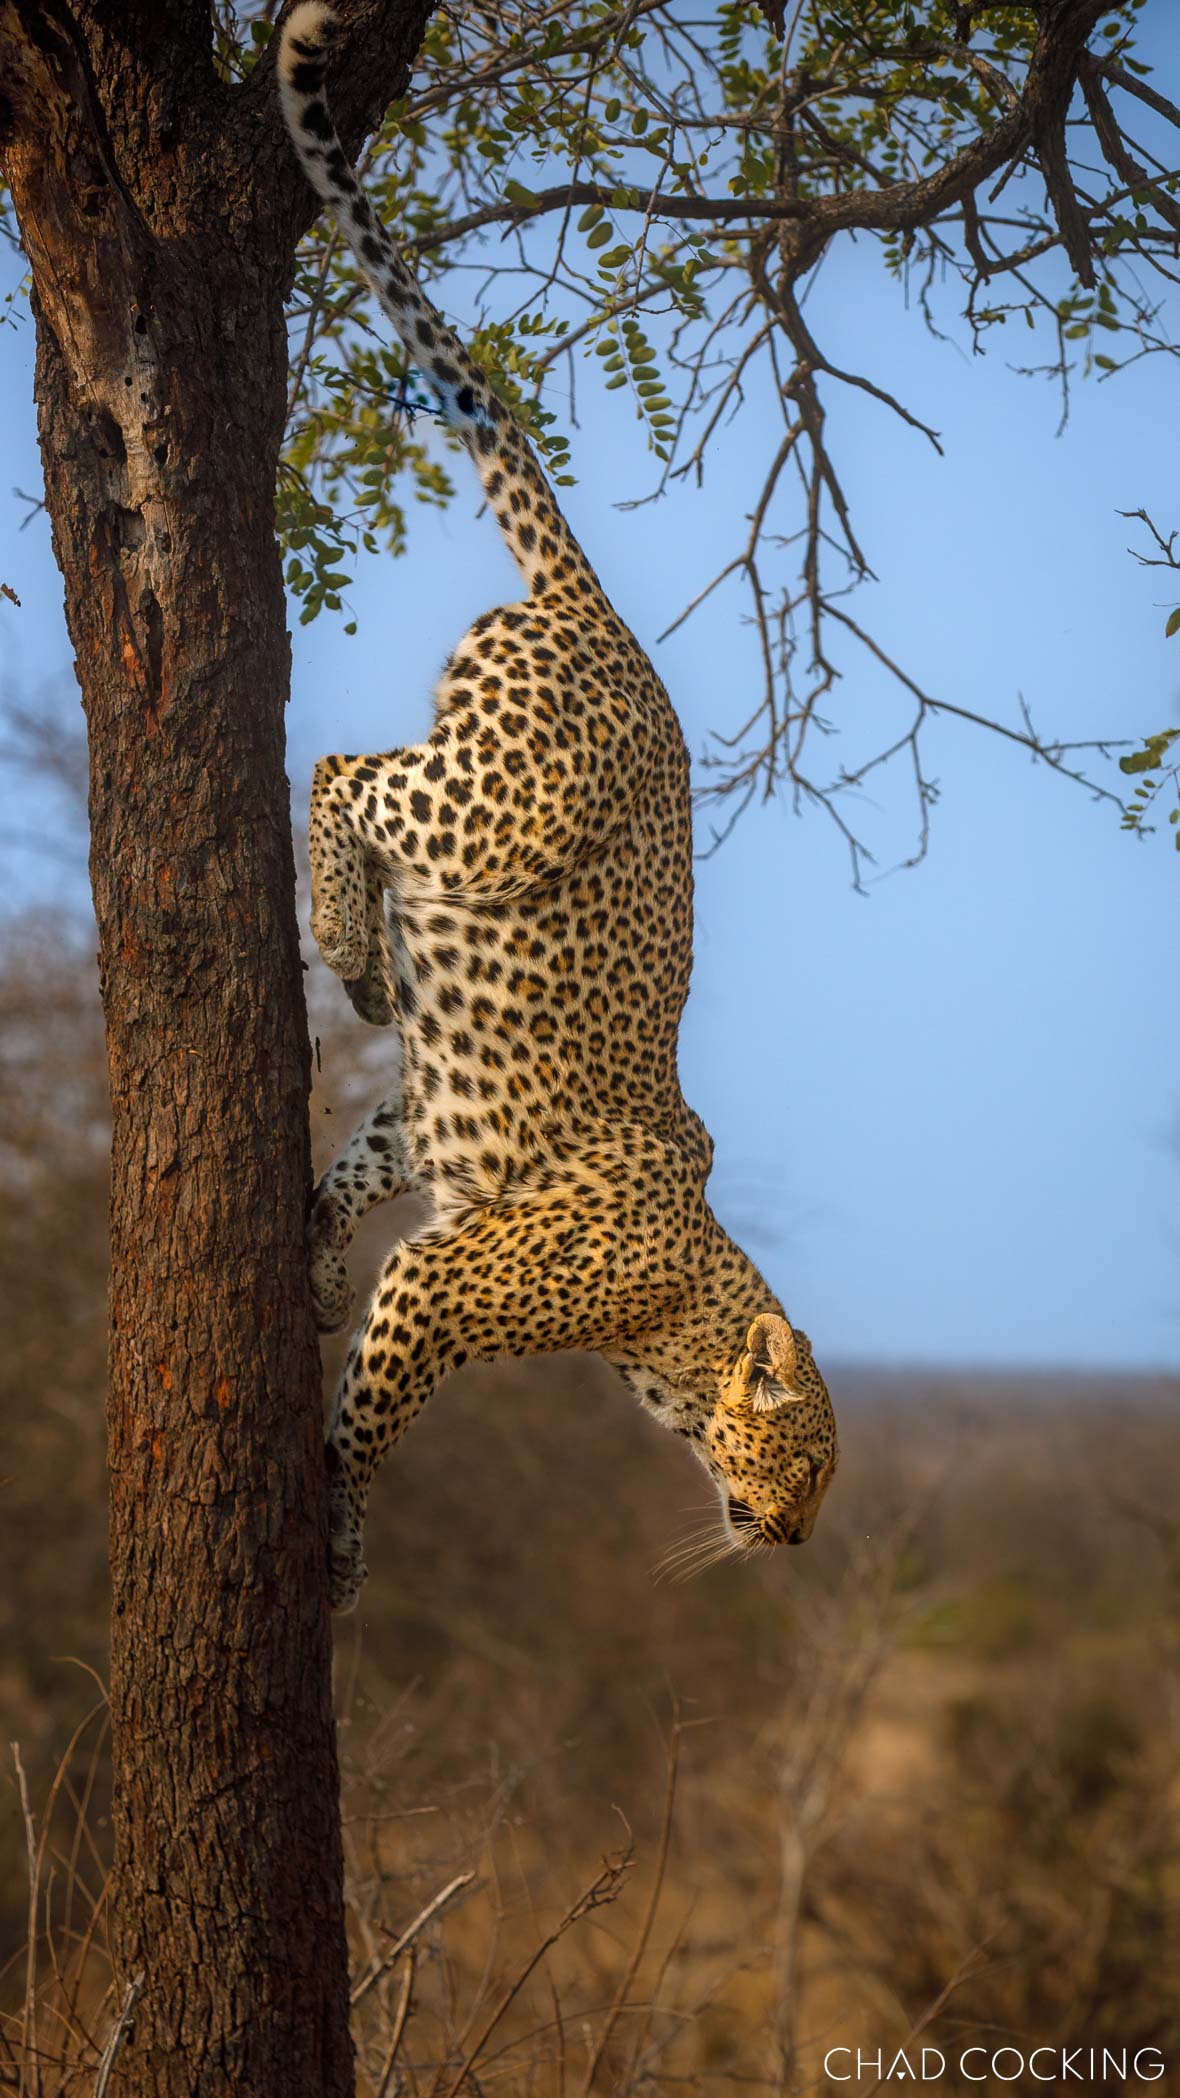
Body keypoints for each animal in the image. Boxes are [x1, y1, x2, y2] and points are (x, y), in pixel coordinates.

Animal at [278, 2, 839, 1612]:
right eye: (805, 1463)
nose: (793, 1539)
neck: (682, 1325)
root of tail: (610, 624)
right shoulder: (444, 1286)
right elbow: (370, 1416)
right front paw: (340, 1550)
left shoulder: (434, 1152)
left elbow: (367, 1153)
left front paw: (312, 1259)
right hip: (495, 806)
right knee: (339, 775)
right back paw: (348, 946)